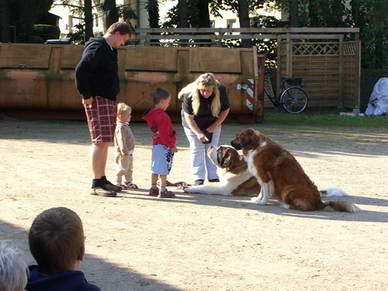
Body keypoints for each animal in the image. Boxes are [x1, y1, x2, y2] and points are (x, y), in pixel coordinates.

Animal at [229, 129, 360, 213]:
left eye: (237, 137)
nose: (230, 142)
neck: (255, 146)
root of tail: (320, 202)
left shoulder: (264, 175)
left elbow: (265, 191)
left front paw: (263, 202)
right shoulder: (262, 177)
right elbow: (262, 190)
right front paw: (257, 199)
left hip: (287, 189)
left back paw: (286, 205)